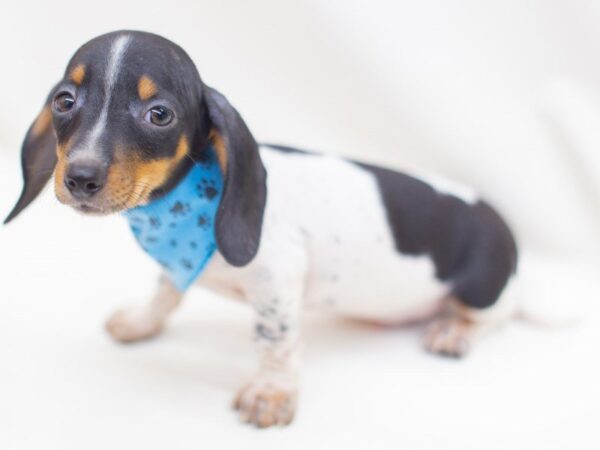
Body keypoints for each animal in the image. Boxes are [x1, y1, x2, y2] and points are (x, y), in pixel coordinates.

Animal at [4, 30, 516, 428]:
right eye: (64, 101)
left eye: (159, 114)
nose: (80, 178)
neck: (177, 209)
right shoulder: (176, 267)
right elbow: (165, 291)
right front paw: (141, 320)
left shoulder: (278, 282)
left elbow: (276, 341)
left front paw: (272, 391)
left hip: (482, 289)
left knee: (493, 316)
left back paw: (453, 331)